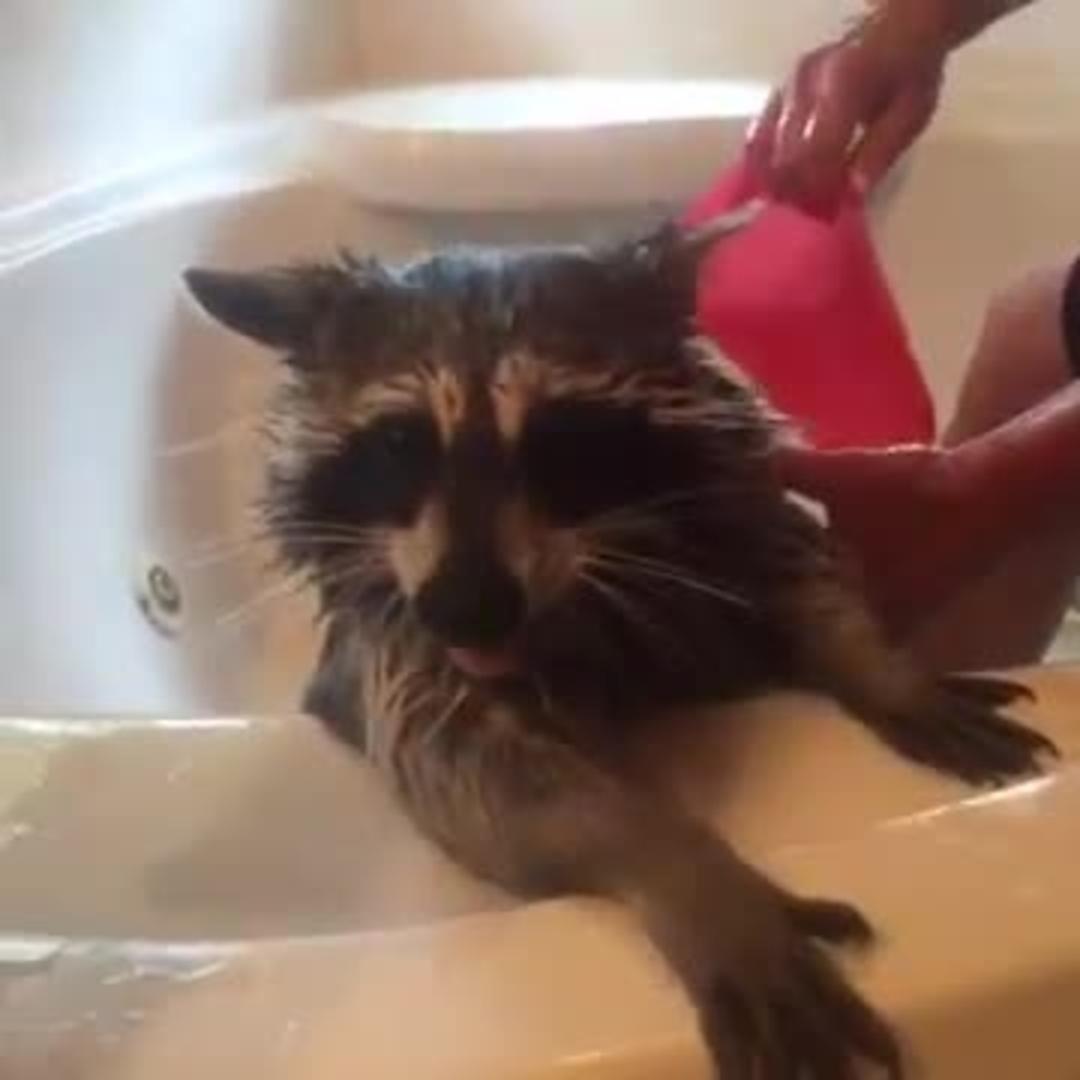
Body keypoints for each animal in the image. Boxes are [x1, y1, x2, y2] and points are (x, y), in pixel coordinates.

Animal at [185, 209, 1055, 1079]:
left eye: (558, 435)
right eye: (401, 442)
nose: (469, 611)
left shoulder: (730, 511)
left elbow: (799, 575)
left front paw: (877, 666)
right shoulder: (397, 639)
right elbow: (476, 765)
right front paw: (686, 870)